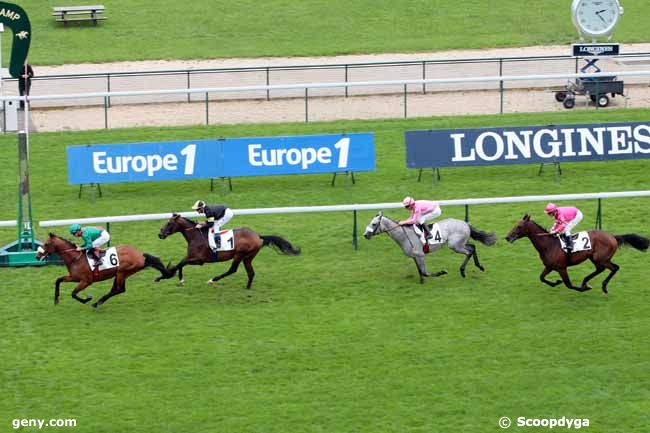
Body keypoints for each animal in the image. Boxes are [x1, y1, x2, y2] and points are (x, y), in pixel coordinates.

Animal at [35, 233, 172, 308]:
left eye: (46, 244)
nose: (37, 256)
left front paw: (87, 298)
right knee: (117, 289)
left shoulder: (86, 281)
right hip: (120, 274)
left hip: (122, 272)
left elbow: (73, 293)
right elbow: (58, 280)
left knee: (120, 289)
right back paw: (99, 302)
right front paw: (56, 299)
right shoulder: (74, 277)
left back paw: (97, 302)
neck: (75, 258)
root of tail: (140, 255)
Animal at [157, 214, 302, 288]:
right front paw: (174, 277)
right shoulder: (190, 257)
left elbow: (180, 264)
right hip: (248, 257)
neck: (196, 235)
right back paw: (247, 287)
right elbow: (180, 263)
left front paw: (167, 276)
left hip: (239, 255)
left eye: (169, 223)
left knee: (233, 270)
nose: (160, 234)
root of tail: (257, 235)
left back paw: (213, 280)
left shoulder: (199, 260)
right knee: (251, 273)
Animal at [362, 210, 494, 284]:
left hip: (454, 245)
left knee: (469, 251)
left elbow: (425, 272)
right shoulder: (415, 256)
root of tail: (465, 223)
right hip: (459, 243)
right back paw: (479, 266)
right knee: (472, 246)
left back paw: (463, 271)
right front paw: (421, 282)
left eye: (374, 224)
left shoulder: (420, 255)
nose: (365, 235)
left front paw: (442, 272)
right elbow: (420, 271)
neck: (404, 235)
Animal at [504, 213, 644, 294]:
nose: (507, 237)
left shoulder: (561, 268)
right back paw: (586, 281)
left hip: (601, 259)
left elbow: (569, 284)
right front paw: (555, 282)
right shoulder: (549, 266)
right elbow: (542, 278)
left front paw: (582, 289)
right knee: (601, 269)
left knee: (614, 268)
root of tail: (612, 237)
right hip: (595, 258)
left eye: (519, 226)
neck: (549, 245)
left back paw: (602, 286)